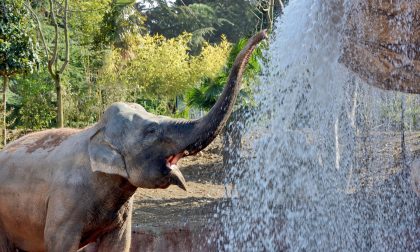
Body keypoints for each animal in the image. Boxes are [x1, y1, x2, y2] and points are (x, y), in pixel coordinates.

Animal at [0, 30, 268, 251]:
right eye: (152, 130)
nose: (264, 33)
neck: (95, 131)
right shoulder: (65, 203)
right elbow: (60, 244)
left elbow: (119, 244)